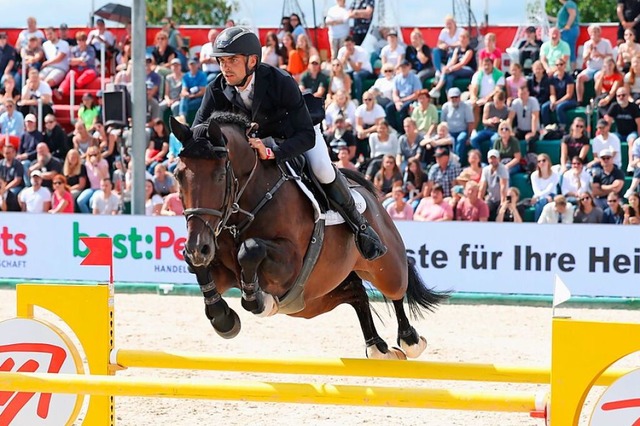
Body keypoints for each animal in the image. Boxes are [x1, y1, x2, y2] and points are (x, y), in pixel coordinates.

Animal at [172, 113, 448, 360]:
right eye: (178, 175)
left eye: (220, 176)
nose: (198, 247)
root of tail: (368, 195)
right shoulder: (220, 268)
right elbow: (202, 272)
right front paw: (224, 319)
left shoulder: (289, 264)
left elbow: (250, 249)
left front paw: (259, 301)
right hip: (317, 297)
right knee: (356, 292)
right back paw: (377, 347)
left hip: (383, 266)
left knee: (396, 289)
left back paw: (410, 340)